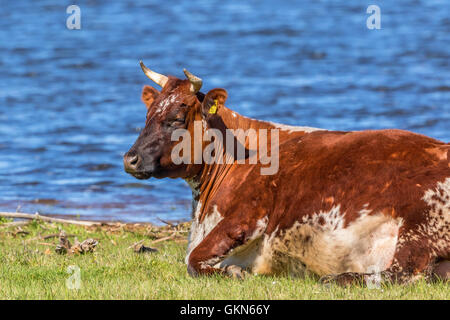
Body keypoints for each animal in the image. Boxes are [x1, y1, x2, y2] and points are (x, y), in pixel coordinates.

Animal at [123, 62, 450, 284]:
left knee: (403, 272)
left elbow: (192, 259)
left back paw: (338, 278)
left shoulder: (249, 214)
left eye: (177, 118)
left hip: (418, 219)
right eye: (148, 114)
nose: (130, 158)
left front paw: (233, 272)